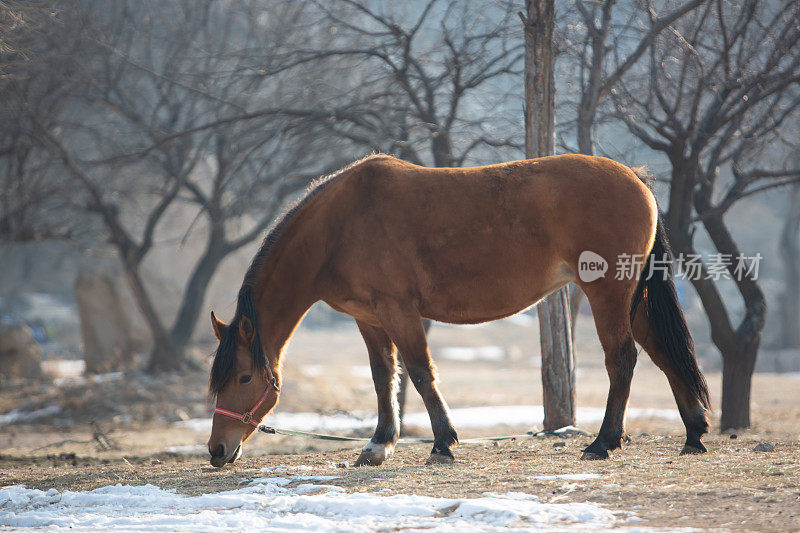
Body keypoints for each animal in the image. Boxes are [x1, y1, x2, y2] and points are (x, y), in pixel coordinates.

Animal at [203, 153, 708, 466]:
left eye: (244, 378)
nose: (216, 450)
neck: (339, 226)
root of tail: (636, 179)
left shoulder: (399, 311)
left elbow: (420, 373)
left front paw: (443, 443)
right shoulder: (369, 318)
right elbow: (384, 377)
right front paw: (378, 444)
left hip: (608, 294)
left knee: (622, 360)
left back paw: (603, 443)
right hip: (631, 299)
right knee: (665, 354)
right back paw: (694, 433)